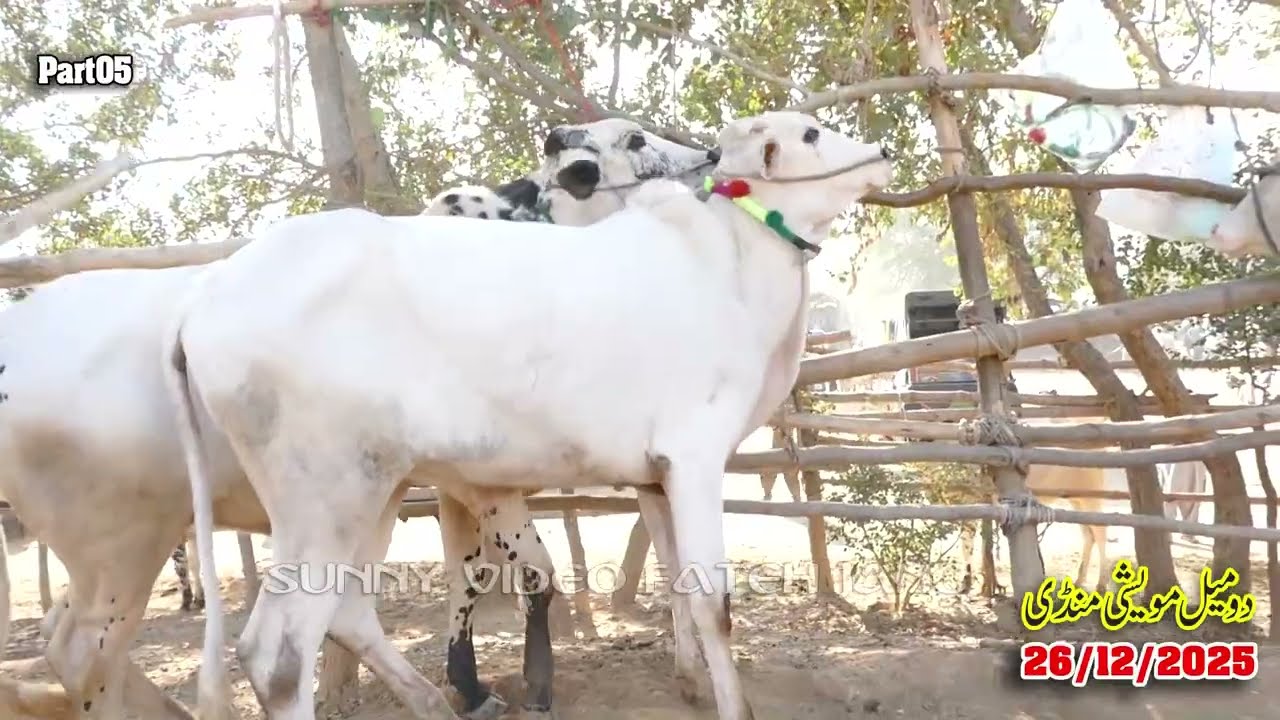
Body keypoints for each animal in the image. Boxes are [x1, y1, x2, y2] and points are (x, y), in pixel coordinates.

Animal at [0, 120, 713, 720]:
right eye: (635, 138)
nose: (708, 154)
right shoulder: (480, 482)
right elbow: (522, 574)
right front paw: (523, 685)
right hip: (138, 538)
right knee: (93, 652)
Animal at [167, 111, 895, 720]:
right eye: (810, 132)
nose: (883, 151)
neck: (729, 263)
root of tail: (204, 296)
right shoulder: (694, 457)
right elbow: (713, 603)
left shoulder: (656, 475)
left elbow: (675, 579)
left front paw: (689, 682)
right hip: (324, 496)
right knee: (278, 655)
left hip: (376, 490)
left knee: (348, 612)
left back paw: (438, 702)